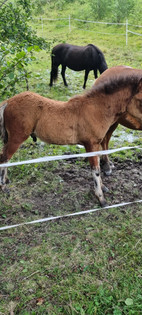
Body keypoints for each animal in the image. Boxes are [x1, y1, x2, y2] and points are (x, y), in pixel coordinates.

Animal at [0, 66, 142, 207]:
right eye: (140, 100)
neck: (96, 109)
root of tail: (8, 101)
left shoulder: (96, 145)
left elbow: (98, 166)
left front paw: (103, 188)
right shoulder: (90, 144)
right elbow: (95, 170)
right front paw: (101, 199)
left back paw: (6, 181)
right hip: (17, 138)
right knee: (4, 158)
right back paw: (3, 187)